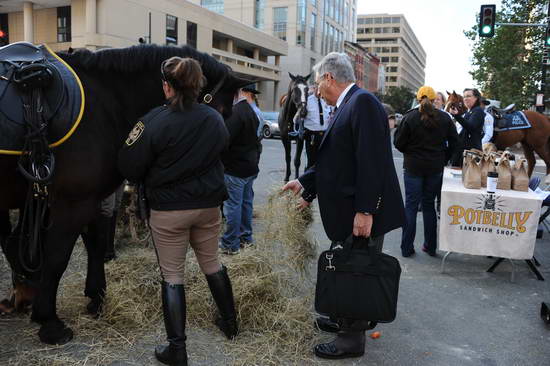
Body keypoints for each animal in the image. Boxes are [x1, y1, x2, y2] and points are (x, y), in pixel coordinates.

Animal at [0, 44, 252, 344]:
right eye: (224, 111)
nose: (221, 184)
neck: (103, 101)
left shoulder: (88, 200)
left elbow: (94, 245)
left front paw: (95, 297)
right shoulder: (72, 204)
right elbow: (57, 256)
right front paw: (49, 322)